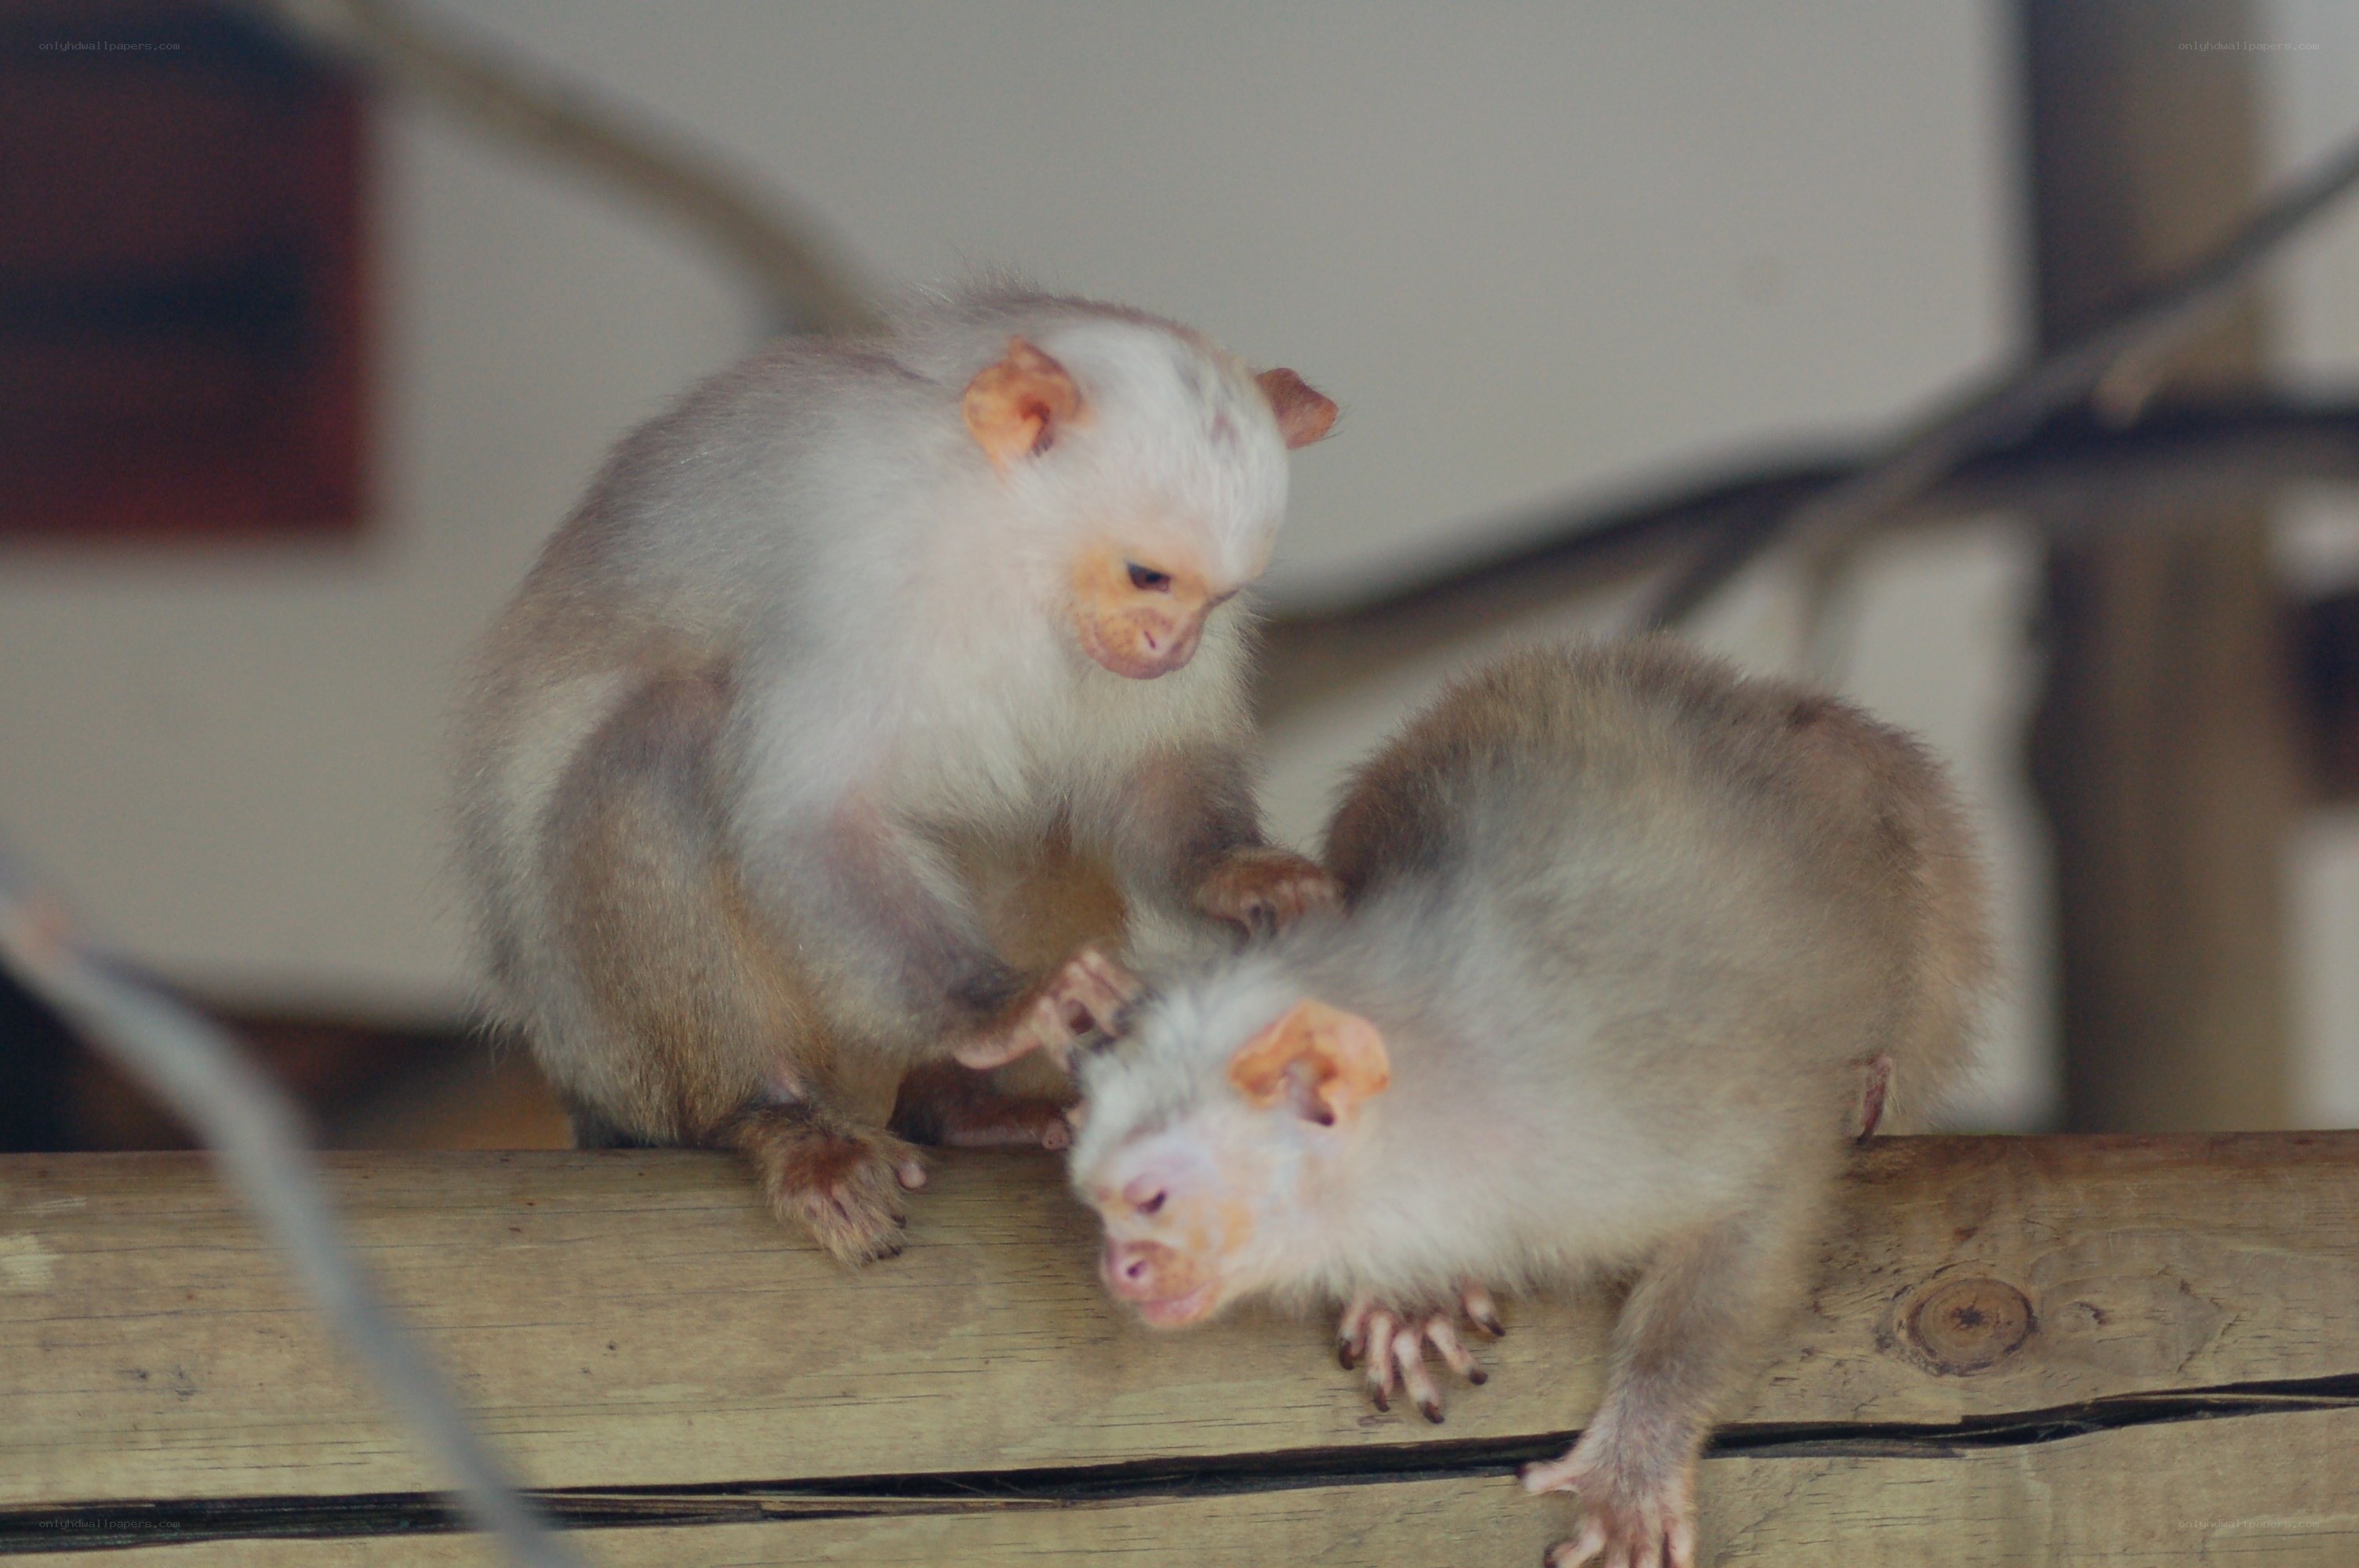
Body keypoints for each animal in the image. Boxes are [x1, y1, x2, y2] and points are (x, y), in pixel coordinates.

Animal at [450, 286, 1340, 1266]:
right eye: (1148, 576)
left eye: (1211, 600)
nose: (1167, 645)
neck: (1011, 547)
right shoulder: (858, 572)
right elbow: (812, 817)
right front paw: (994, 1008)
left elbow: (1154, 773)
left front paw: (1238, 874)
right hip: (610, 1052)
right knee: (666, 740)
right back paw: (767, 1118)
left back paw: (953, 1105)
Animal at [1026, 639, 1993, 1568]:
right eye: (1103, 1205)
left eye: (1152, 1199)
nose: (1121, 1269)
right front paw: (1412, 1301)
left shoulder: (1647, 1100)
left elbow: (1757, 1213)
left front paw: (1640, 1450)